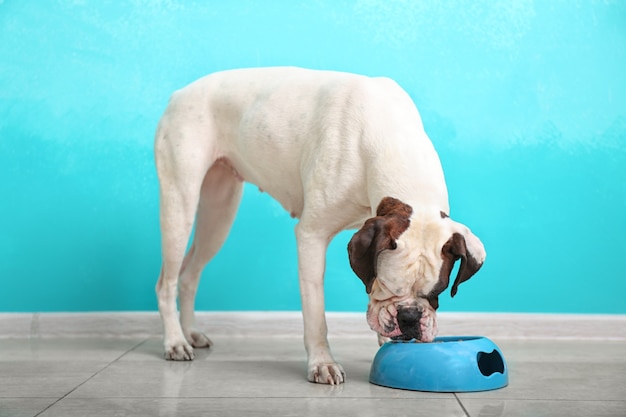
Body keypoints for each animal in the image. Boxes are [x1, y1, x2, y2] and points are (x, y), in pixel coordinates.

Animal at [154, 66, 486, 384]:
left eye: (437, 293)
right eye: (388, 286)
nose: (409, 318)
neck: (392, 142)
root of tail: (179, 94)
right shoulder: (311, 236)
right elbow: (316, 315)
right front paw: (322, 363)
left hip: (218, 214)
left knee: (189, 274)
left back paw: (190, 332)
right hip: (180, 205)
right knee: (166, 281)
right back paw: (175, 342)